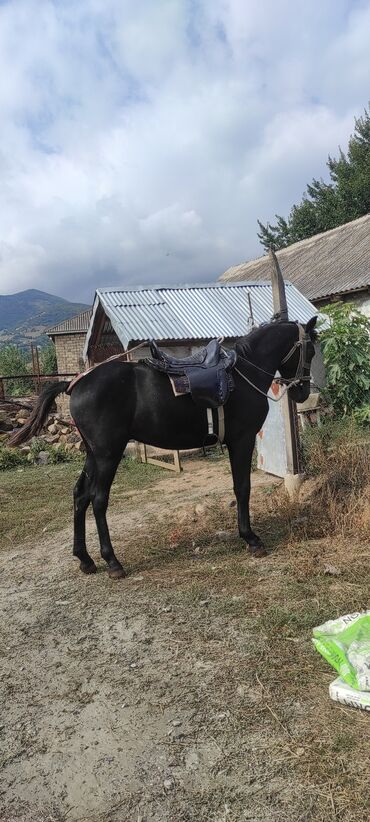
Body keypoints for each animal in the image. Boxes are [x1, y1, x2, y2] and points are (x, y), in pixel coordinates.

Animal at [11, 316, 318, 580]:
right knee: (98, 499)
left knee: (80, 495)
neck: (242, 374)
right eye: (311, 350)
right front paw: (251, 539)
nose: (302, 391)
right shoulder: (241, 441)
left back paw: (85, 559)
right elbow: (242, 487)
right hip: (108, 454)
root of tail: (75, 383)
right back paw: (112, 561)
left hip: (93, 454)